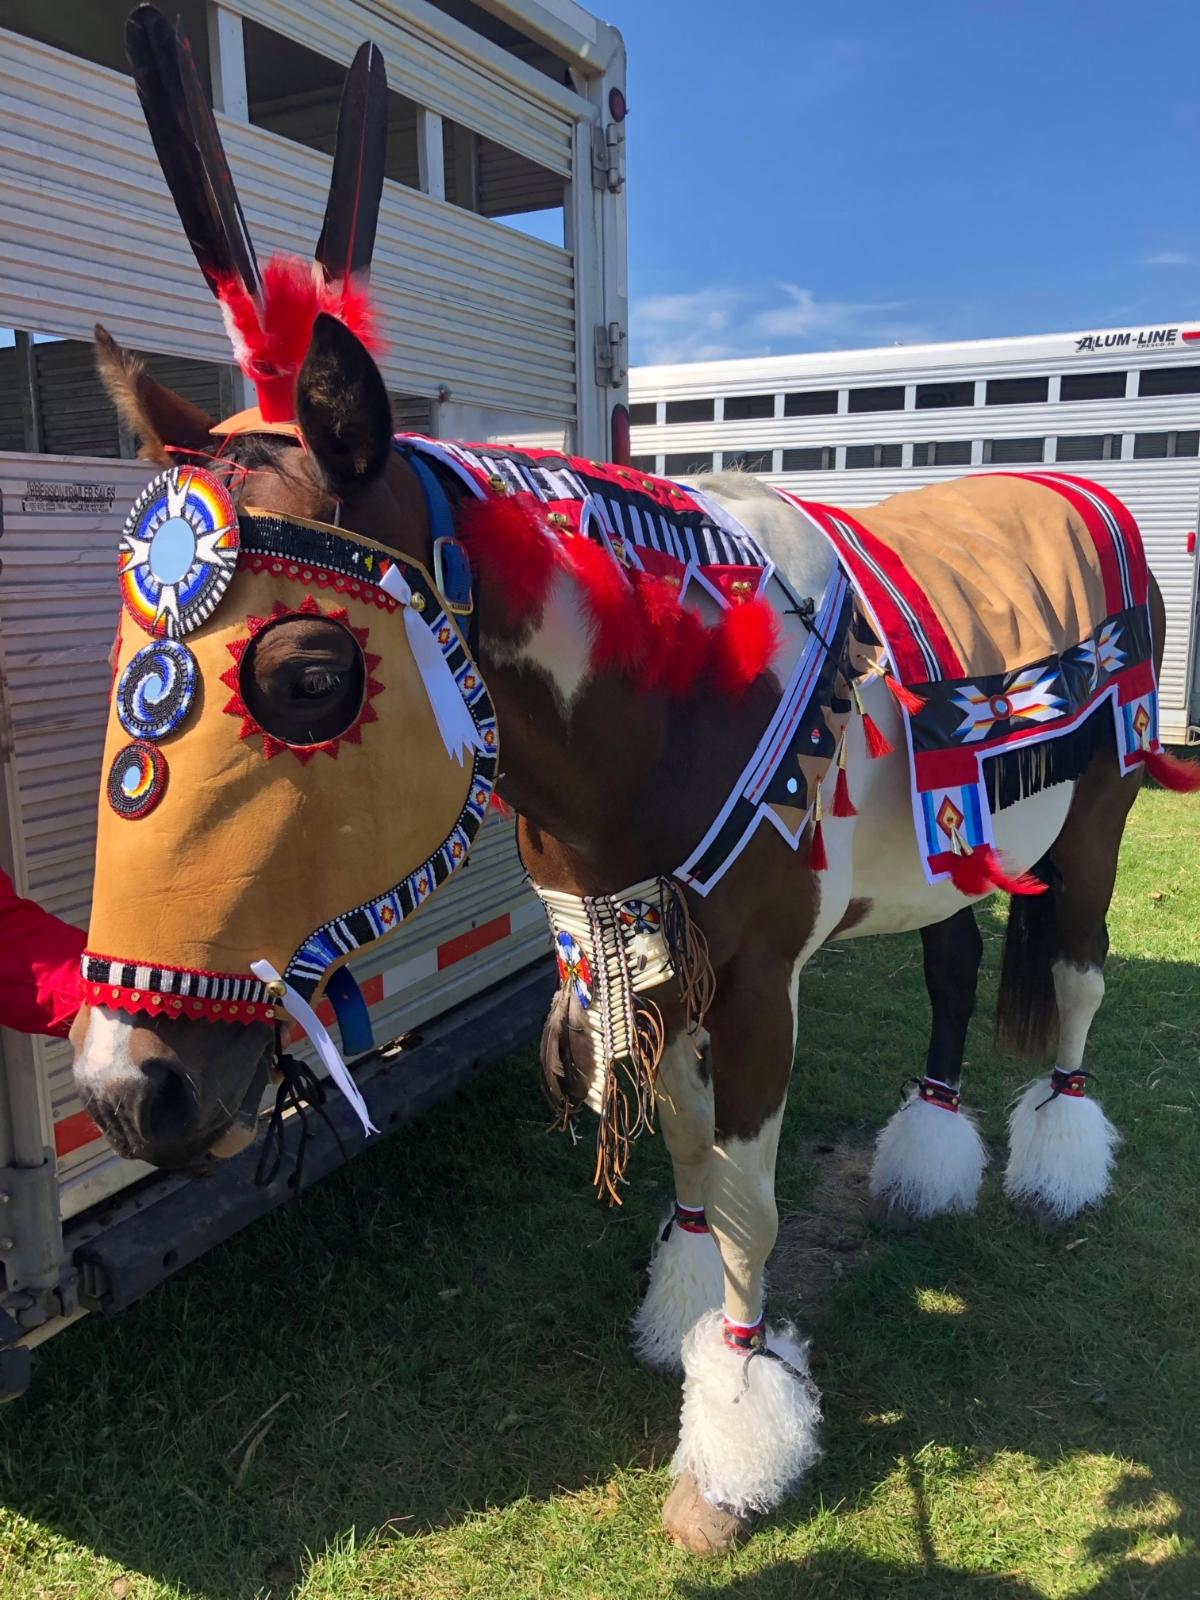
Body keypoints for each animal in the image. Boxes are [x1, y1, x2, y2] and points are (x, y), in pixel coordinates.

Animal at [70, 5, 1197, 1556]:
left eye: (309, 678)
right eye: (126, 646)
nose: (130, 1090)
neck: (674, 695)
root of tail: (1078, 492)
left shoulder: (761, 983)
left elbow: (751, 1203)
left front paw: (733, 1430)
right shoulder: (640, 957)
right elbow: (683, 1155)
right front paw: (684, 1314)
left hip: (1095, 819)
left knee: (1075, 983)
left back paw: (1058, 1167)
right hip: (954, 851)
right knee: (955, 967)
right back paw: (932, 1145)